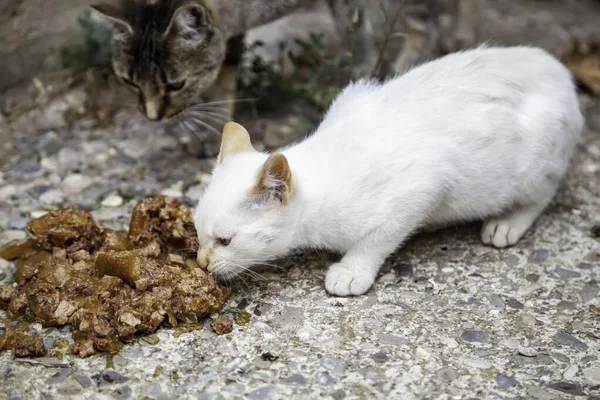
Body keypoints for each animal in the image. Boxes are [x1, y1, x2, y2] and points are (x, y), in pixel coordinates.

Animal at [195, 47, 584, 296]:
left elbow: (377, 238)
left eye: (225, 241)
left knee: (543, 193)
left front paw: (352, 270)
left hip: (534, 164)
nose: (200, 263)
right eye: (198, 235)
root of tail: (557, 68)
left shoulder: (424, 184)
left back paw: (507, 222)